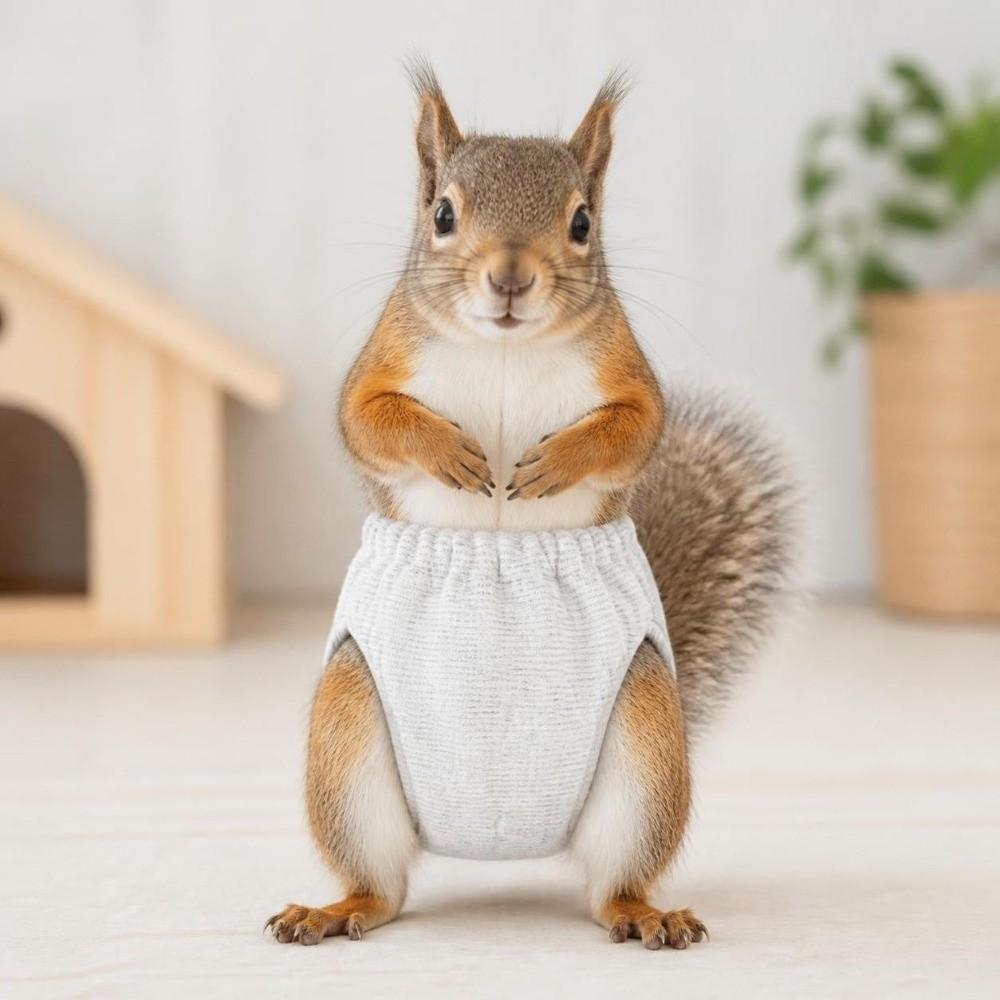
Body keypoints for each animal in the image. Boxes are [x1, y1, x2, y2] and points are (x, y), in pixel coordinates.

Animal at [266, 64, 797, 951]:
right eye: (443, 214)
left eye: (582, 221)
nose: (510, 277)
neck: (505, 347)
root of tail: (502, 837)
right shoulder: (378, 365)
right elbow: (366, 419)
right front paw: (448, 451)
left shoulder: (628, 372)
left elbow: (635, 428)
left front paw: (555, 463)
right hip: (347, 736)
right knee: (383, 885)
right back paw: (336, 909)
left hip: (645, 741)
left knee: (612, 882)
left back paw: (645, 915)